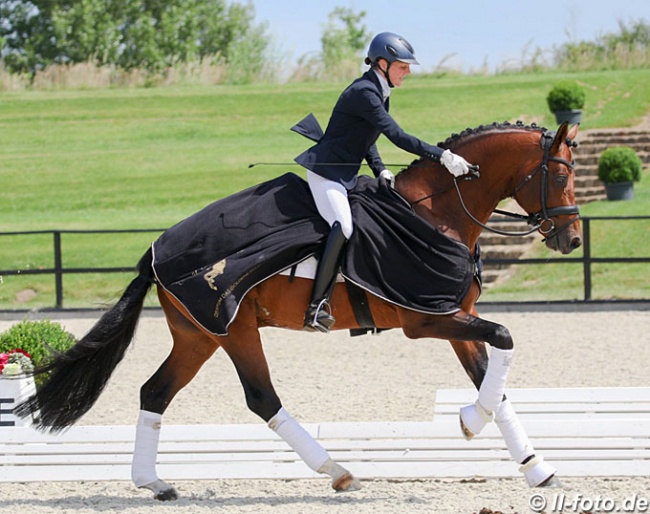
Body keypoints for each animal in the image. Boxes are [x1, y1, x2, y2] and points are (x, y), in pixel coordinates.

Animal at [17, 119, 580, 496]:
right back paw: (337, 471)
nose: (572, 239)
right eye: (559, 177)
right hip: (235, 330)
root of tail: (156, 253)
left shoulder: (454, 318)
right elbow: (505, 340)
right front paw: (468, 421)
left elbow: (496, 385)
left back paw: (152, 482)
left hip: (199, 336)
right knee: (262, 398)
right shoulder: (427, 320)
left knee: (155, 391)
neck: (435, 214)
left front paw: (536, 467)